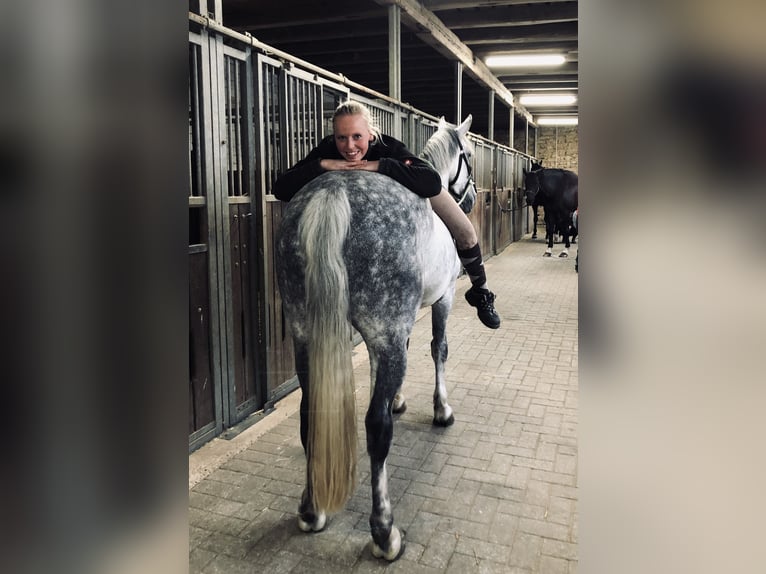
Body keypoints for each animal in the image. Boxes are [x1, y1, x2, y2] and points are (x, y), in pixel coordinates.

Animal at [275, 116, 477, 561]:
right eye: (470, 155)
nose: (470, 199)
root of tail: (332, 195)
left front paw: (398, 398)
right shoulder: (441, 299)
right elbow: (438, 349)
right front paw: (441, 410)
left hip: (304, 334)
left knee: (310, 412)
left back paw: (311, 510)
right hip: (387, 327)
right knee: (375, 428)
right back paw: (385, 532)